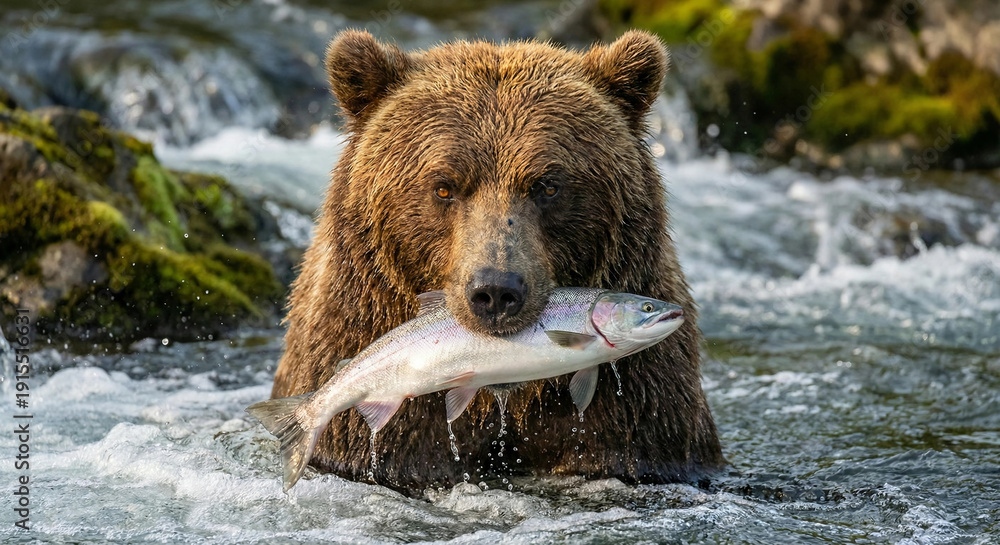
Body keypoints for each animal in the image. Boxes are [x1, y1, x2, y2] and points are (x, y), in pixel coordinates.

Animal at [270, 29, 724, 492]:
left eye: (547, 185)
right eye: (444, 186)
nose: (495, 292)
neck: (508, 397)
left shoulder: (638, 405)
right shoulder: (375, 404)